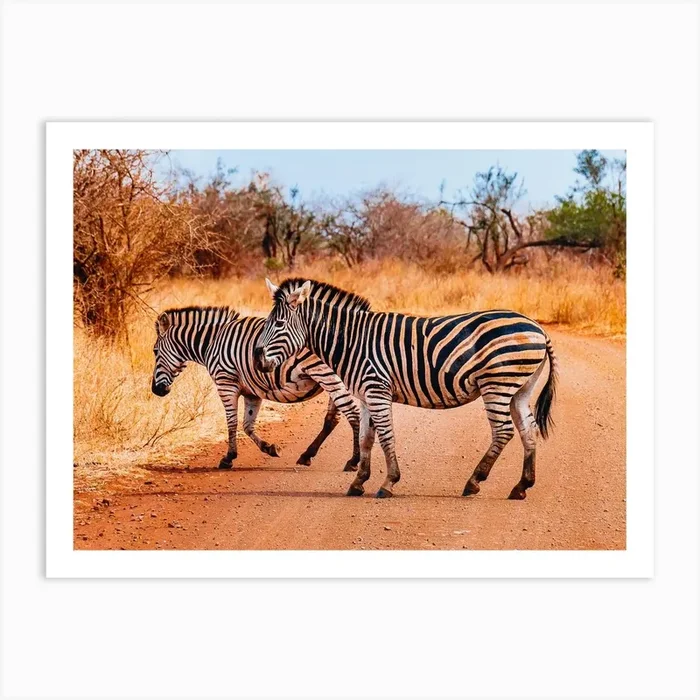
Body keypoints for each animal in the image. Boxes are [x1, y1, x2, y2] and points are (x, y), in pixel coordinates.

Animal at [151, 305, 362, 471]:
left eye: (154, 351)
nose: (156, 390)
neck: (212, 342)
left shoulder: (225, 383)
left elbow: (232, 422)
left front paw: (228, 458)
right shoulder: (252, 392)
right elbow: (247, 425)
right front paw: (270, 448)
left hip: (326, 375)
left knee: (352, 413)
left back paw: (353, 461)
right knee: (332, 419)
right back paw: (307, 455)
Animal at [254, 279, 558, 500]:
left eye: (278, 324)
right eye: (266, 323)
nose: (257, 360)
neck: (351, 340)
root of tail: (538, 328)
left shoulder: (377, 389)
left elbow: (387, 436)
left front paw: (388, 483)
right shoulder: (366, 395)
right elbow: (366, 438)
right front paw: (358, 482)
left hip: (498, 383)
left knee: (504, 431)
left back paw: (474, 482)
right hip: (520, 388)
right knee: (528, 430)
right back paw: (521, 487)